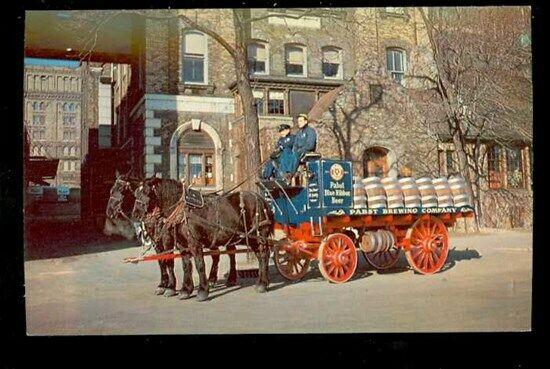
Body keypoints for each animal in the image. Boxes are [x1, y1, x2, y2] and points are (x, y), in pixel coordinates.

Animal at [134, 177, 276, 300]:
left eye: (146, 192)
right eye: (135, 193)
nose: (135, 213)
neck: (182, 212)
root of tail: (260, 199)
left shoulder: (193, 243)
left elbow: (198, 265)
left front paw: (202, 291)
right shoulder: (182, 245)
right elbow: (185, 266)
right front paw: (185, 290)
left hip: (258, 235)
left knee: (263, 254)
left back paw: (262, 283)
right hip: (246, 237)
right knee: (253, 255)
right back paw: (255, 281)